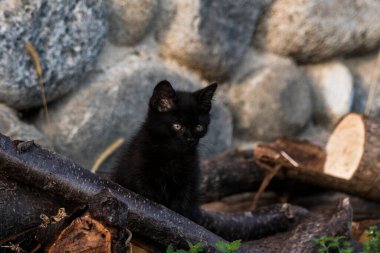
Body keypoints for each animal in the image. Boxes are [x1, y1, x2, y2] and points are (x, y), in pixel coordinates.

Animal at [113, 79, 217, 219]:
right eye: (177, 126)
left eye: (199, 127)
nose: (190, 139)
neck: (171, 155)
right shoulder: (137, 169)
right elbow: (144, 192)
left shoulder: (189, 180)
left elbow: (183, 204)